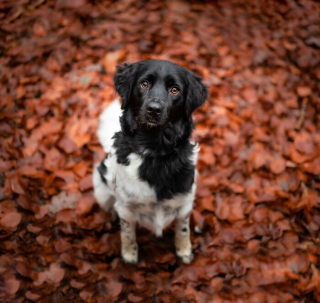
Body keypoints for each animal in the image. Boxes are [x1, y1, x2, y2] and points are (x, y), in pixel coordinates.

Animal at [92, 60, 208, 264]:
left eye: (175, 90)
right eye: (144, 84)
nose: (154, 109)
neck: (155, 151)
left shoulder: (184, 204)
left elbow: (183, 231)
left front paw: (184, 251)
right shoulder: (126, 209)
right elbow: (127, 234)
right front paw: (129, 255)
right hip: (101, 189)